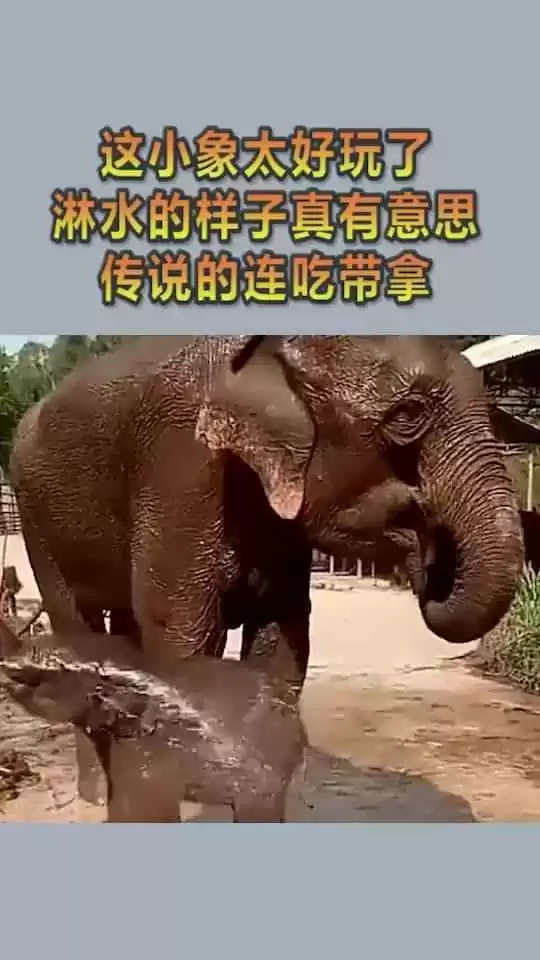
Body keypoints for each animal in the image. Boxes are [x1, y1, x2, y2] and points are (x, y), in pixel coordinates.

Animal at [8, 335, 524, 802]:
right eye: (409, 415)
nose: (426, 539)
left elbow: (280, 645)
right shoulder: (181, 470)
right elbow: (185, 640)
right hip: (34, 517)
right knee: (76, 622)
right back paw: (97, 793)